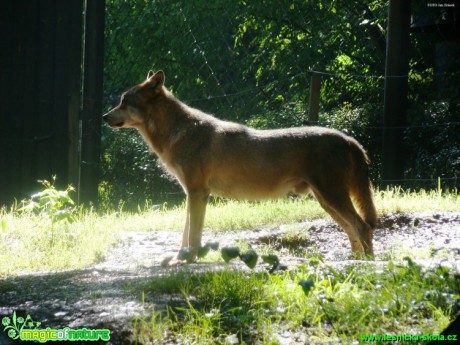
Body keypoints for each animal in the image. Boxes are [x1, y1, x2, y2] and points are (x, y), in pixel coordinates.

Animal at [102, 71, 376, 260]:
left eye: (124, 101)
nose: (104, 117)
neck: (178, 132)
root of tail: (350, 139)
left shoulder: (198, 193)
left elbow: (193, 235)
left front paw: (189, 260)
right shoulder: (191, 194)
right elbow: (185, 232)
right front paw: (180, 258)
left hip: (332, 198)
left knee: (363, 227)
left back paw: (366, 264)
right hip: (326, 202)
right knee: (353, 229)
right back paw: (352, 261)